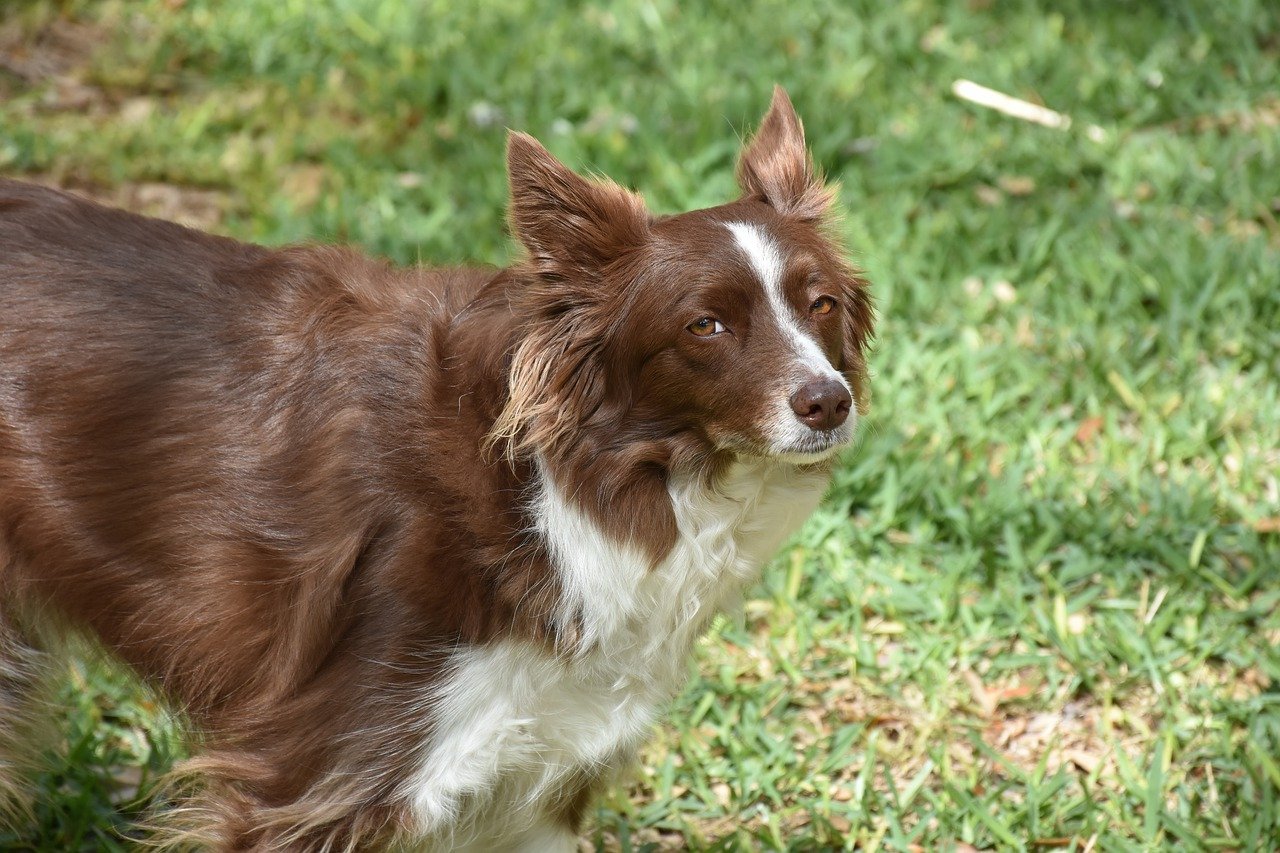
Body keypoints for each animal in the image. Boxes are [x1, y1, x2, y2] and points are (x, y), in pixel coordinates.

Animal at [0, 86, 870, 845]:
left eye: (820, 303)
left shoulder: (541, 782)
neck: (558, 490)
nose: (828, 402)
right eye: (705, 325)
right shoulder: (315, 775)